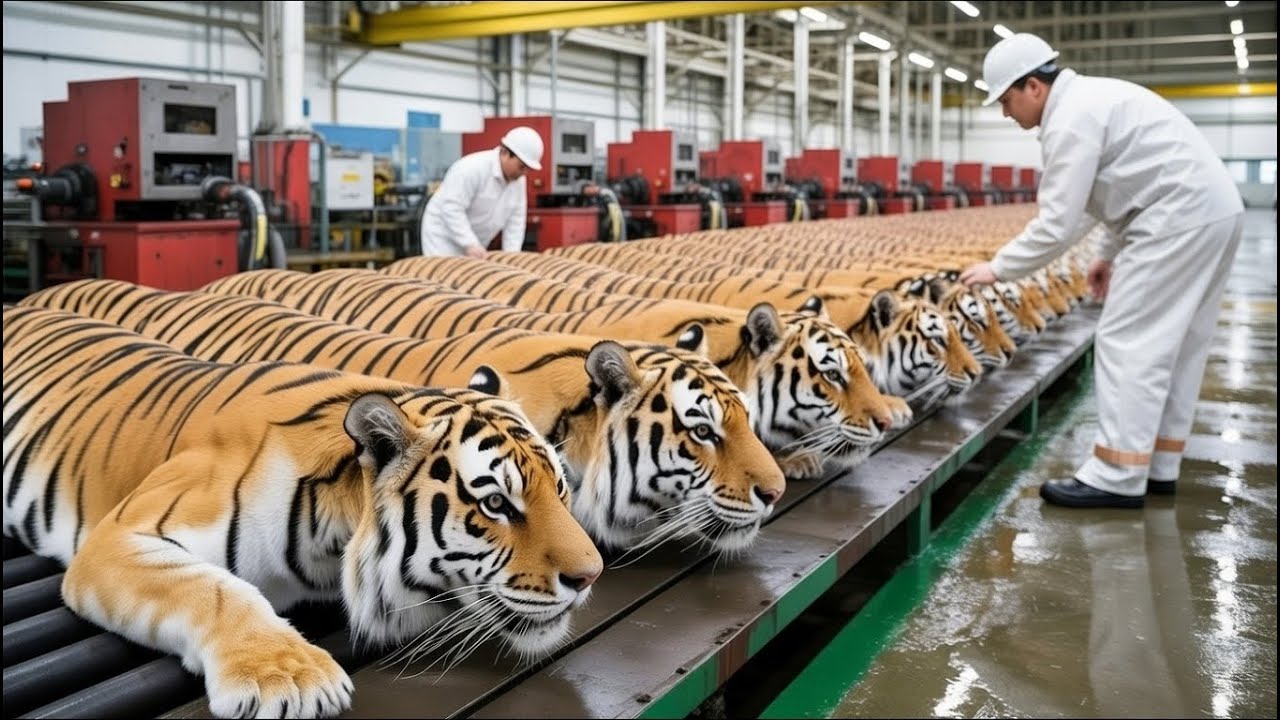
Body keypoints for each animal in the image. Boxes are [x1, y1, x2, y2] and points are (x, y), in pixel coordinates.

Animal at [2, 304, 602, 720]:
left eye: (560, 488)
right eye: (496, 503)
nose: (591, 576)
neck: (330, 544)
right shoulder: (122, 533)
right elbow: (212, 588)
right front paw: (289, 679)